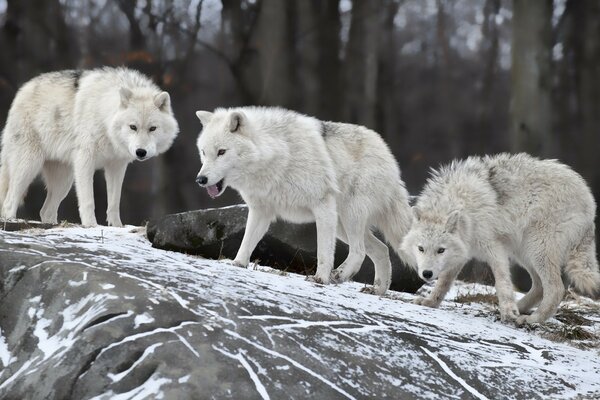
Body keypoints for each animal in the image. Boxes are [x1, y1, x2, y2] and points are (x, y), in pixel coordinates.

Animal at [0, 67, 178, 227]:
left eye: (152, 128)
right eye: (133, 127)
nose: (141, 152)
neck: (104, 117)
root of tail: (22, 90)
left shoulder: (117, 166)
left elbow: (114, 202)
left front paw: (117, 227)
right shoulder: (85, 160)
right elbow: (88, 201)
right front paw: (91, 225)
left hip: (64, 181)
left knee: (46, 211)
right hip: (29, 166)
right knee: (9, 202)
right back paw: (12, 221)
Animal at [400, 153, 596, 324]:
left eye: (440, 250)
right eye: (421, 248)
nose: (426, 274)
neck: (463, 206)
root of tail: (590, 201)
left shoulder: (494, 248)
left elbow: (501, 283)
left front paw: (508, 311)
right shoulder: (462, 252)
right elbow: (443, 283)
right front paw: (430, 302)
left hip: (536, 249)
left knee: (556, 289)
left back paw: (532, 319)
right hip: (524, 252)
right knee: (540, 287)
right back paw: (519, 308)